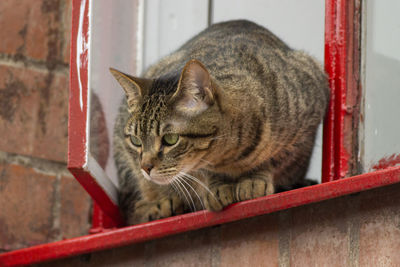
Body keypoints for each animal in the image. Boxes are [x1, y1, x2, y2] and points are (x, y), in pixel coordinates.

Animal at [109, 21, 328, 225]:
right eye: (136, 141)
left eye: (170, 139)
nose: (145, 167)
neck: (231, 156)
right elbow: (205, 172)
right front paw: (218, 185)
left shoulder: (309, 119)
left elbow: (274, 158)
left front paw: (254, 178)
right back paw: (160, 204)